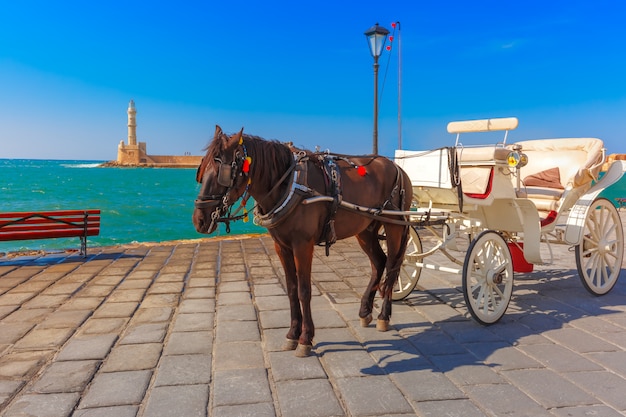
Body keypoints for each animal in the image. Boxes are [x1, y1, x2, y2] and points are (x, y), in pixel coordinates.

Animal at [193, 125, 412, 356]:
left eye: (221, 173)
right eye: (202, 171)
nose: (199, 220)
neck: (288, 184)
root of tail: (397, 167)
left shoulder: (303, 245)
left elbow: (304, 290)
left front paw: (305, 338)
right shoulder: (281, 246)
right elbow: (291, 289)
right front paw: (292, 334)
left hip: (394, 225)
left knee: (392, 266)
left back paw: (383, 316)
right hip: (365, 229)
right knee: (379, 263)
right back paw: (365, 311)